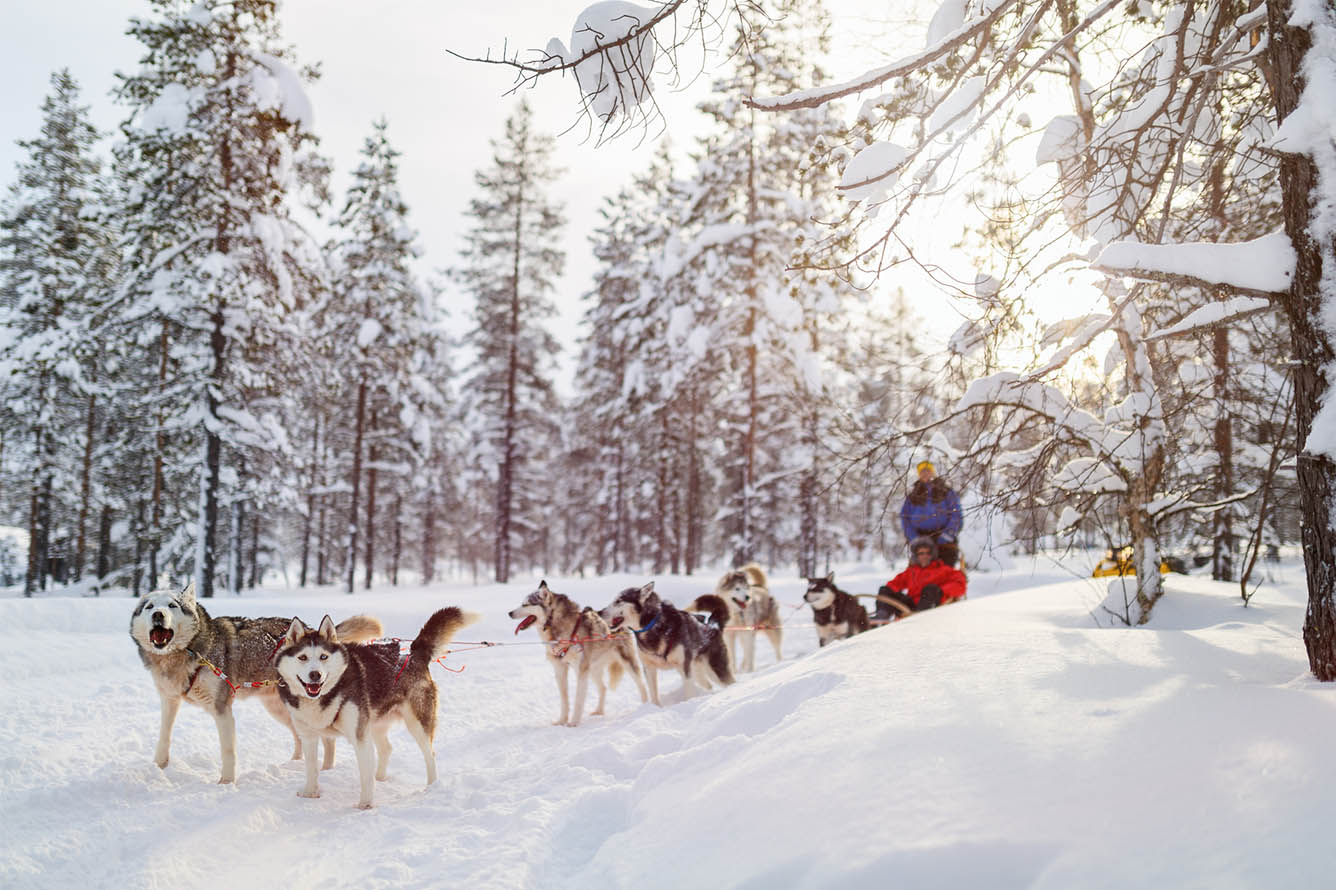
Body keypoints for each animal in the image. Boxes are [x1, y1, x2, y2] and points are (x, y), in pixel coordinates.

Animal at [127, 579, 382, 780]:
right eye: (149, 606)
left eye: (172, 605)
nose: (158, 614)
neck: (187, 654)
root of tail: (312, 630)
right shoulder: (169, 700)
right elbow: (164, 736)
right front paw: (158, 767)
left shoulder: (222, 709)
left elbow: (228, 752)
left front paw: (226, 783)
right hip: (280, 709)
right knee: (301, 737)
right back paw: (294, 763)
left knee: (326, 740)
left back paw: (325, 770)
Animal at [273, 606, 478, 807]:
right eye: (302, 657)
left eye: (324, 656)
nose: (315, 675)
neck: (325, 695)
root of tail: (414, 653)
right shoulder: (308, 737)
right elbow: (311, 768)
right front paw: (310, 793)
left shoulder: (360, 737)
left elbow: (365, 776)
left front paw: (365, 805)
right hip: (375, 724)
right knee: (387, 748)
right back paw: (379, 778)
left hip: (417, 724)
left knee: (430, 755)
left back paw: (431, 787)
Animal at [507, 579, 649, 726]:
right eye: (522, 603)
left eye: (526, 604)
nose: (509, 613)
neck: (556, 625)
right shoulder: (560, 669)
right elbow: (564, 700)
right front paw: (562, 721)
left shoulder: (580, 670)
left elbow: (578, 699)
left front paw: (574, 722)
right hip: (593, 669)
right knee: (603, 688)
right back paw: (599, 711)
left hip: (626, 663)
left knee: (642, 684)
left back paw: (645, 706)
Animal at [601, 579, 737, 705]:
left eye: (618, 601)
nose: (599, 612)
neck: (654, 625)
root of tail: (713, 626)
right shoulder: (649, 669)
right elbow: (654, 696)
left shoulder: (684, 668)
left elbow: (688, 693)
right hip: (697, 672)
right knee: (708, 685)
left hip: (716, 671)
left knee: (730, 682)